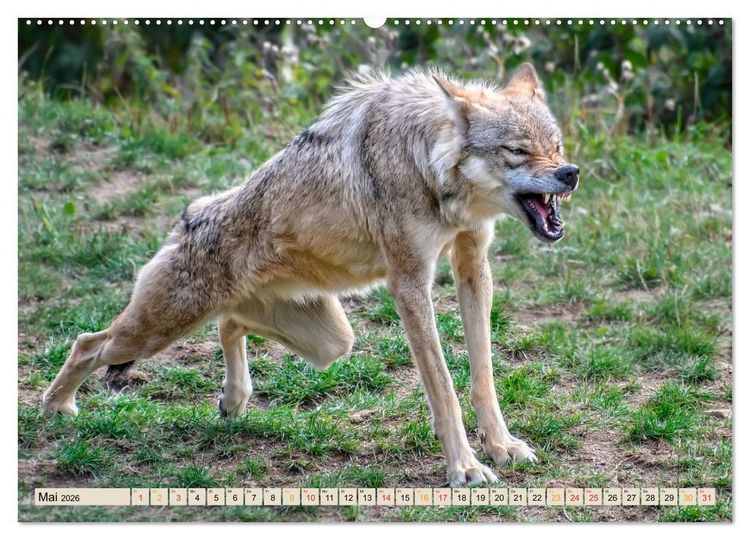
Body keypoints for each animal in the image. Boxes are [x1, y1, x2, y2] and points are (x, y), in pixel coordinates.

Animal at [42, 63, 579, 487]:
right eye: (517, 151)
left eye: (555, 145)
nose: (569, 173)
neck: (427, 163)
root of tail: (190, 215)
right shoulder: (409, 282)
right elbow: (444, 386)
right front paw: (465, 468)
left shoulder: (472, 264)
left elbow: (483, 374)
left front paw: (502, 446)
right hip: (155, 331)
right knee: (88, 342)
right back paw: (55, 410)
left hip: (331, 342)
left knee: (229, 323)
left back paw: (233, 400)